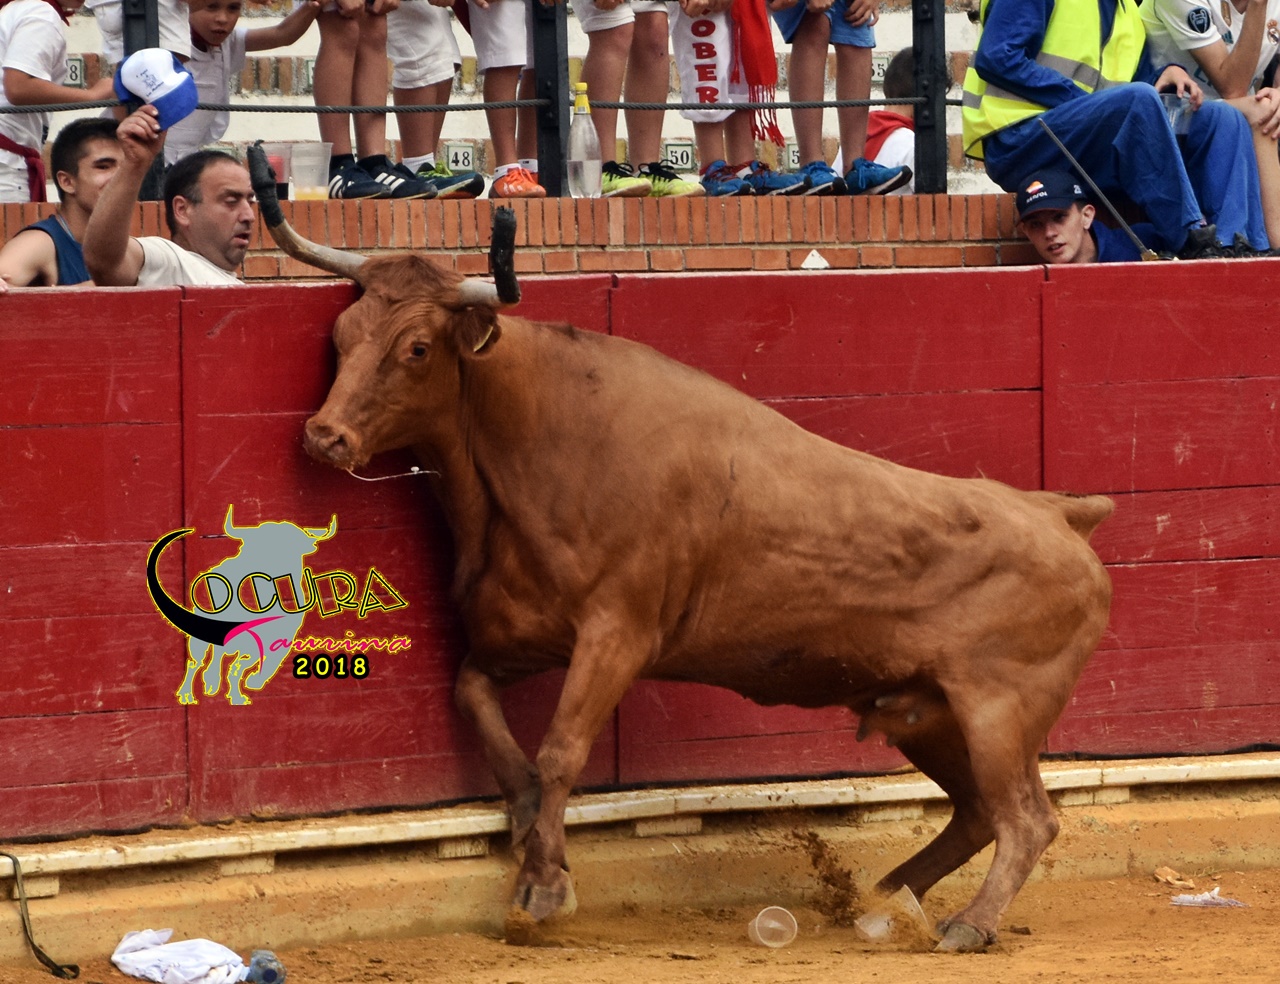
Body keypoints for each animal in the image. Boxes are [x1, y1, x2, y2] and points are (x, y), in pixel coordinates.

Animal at [247, 147, 1113, 952]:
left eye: (418, 349)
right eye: (343, 336)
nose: (326, 437)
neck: (531, 446)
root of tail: (1057, 512)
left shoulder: (618, 635)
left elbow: (562, 750)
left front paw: (542, 890)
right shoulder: (515, 636)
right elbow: (483, 712)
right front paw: (532, 833)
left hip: (999, 709)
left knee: (1027, 818)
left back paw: (968, 924)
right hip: (923, 713)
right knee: (977, 815)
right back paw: (882, 900)